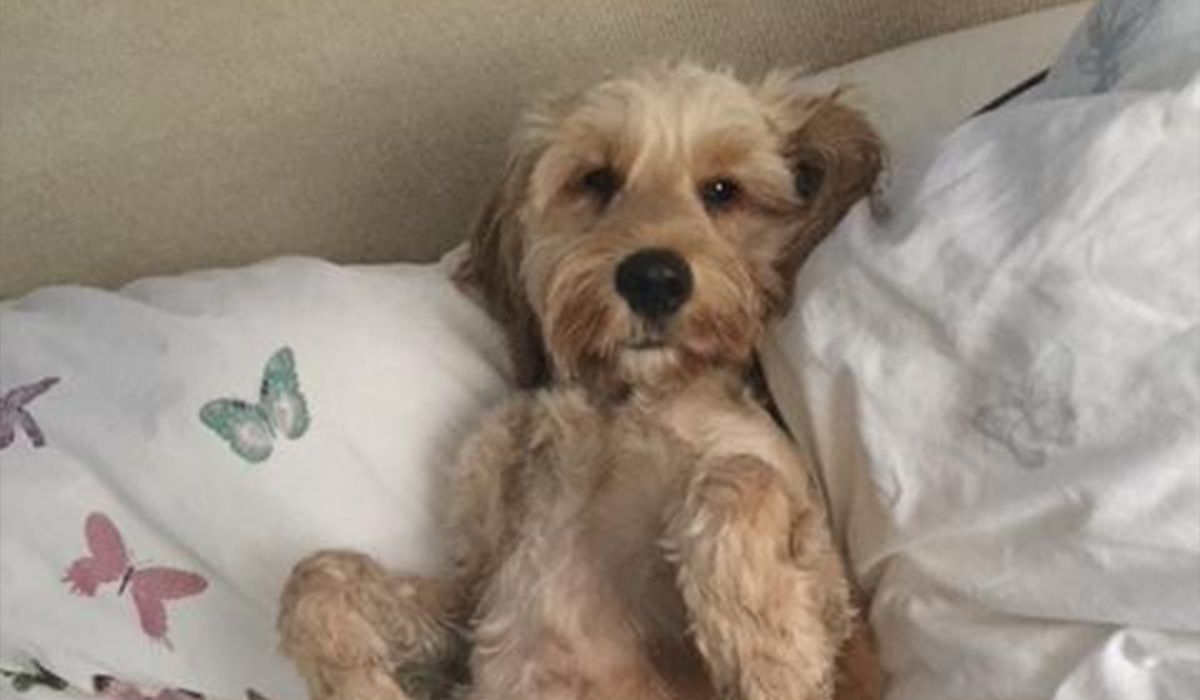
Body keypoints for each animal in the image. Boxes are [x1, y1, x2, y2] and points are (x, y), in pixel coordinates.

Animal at [278, 61, 883, 700]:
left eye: (722, 190)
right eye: (597, 179)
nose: (653, 279)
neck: (621, 403)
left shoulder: (841, 609)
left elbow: (739, 478)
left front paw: (768, 654)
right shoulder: (480, 598)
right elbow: (316, 576)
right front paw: (354, 680)